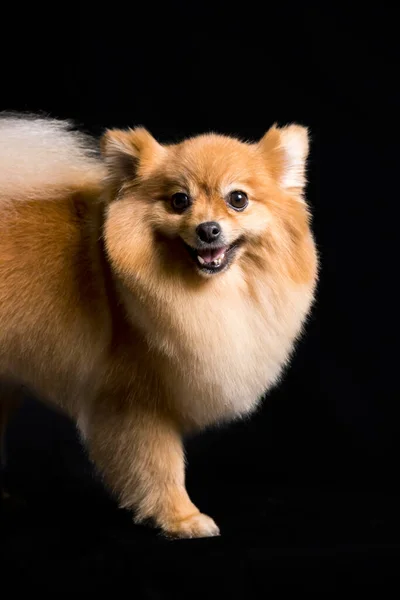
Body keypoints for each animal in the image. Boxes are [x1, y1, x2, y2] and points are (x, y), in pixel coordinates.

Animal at [0, 115, 318, 536]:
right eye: (179, 200)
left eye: (238, 199)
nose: (208, 229)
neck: (206, 294)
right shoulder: (135, 400)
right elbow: (160, 464)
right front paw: (181, 518)